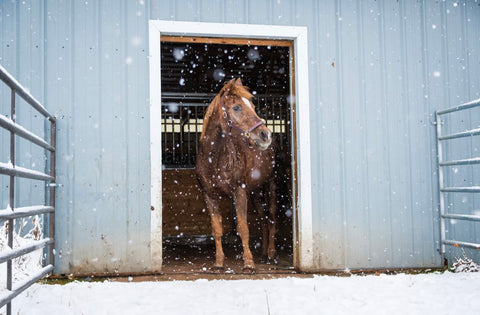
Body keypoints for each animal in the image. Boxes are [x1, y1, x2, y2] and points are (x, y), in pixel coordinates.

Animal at [195, 78, 278, 272]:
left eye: (253, 106)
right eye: (237, 107)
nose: (266, 134)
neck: (214, 159)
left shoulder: (239, 192)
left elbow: (243, 227)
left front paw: (248, 263)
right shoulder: (209, 195)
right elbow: (216, 229)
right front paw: (218, 262)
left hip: (270, 185)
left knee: (271, 217)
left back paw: (271, 254)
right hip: (255, 192)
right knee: (263, 219)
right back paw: (263, 254)